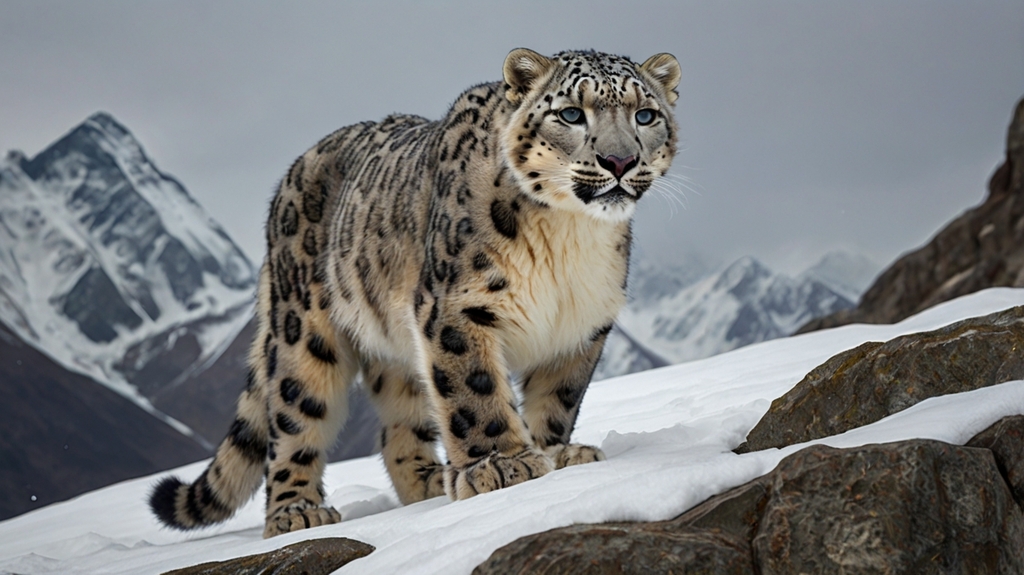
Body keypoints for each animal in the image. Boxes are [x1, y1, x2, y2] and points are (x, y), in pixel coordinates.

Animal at [149, 47, 680, 538]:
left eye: (645, 114)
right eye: (571, 114)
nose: (619, 160)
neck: (569, 238)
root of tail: (288, 179)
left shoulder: (580, 324)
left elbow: (559, 398)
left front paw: (557, 452)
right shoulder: (457, 306)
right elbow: (474, 390)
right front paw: (503, 464)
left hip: (396, 347)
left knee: (397, 426)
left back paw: (429, 479)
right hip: (306, 334)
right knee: (294, 416)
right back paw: (296, 513)